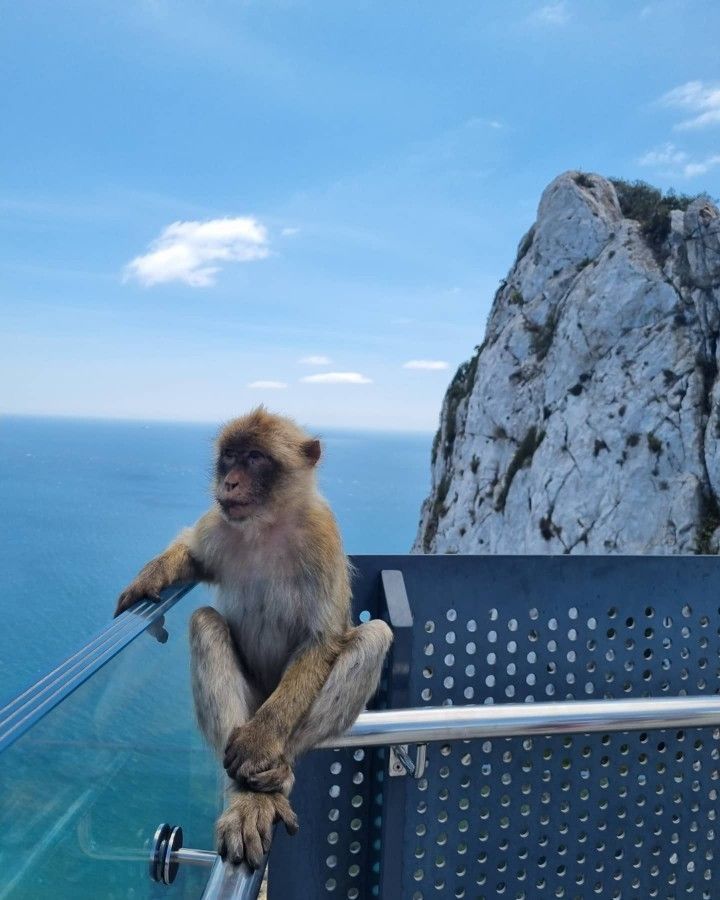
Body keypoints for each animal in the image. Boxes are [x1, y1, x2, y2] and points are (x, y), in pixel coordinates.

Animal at [115, 408, 393, 869]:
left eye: (256, 458)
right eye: (229, 456)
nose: (229, 482)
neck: (267, 525)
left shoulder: (323, 537)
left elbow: (321, 640)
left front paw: (261, 743)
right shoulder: (218, 523)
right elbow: (193, 555)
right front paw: (151, 577)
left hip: (277, 709)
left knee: (375, 635)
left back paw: (275, 772)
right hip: (249, 700)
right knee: (206, 625)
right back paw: (246, 797)